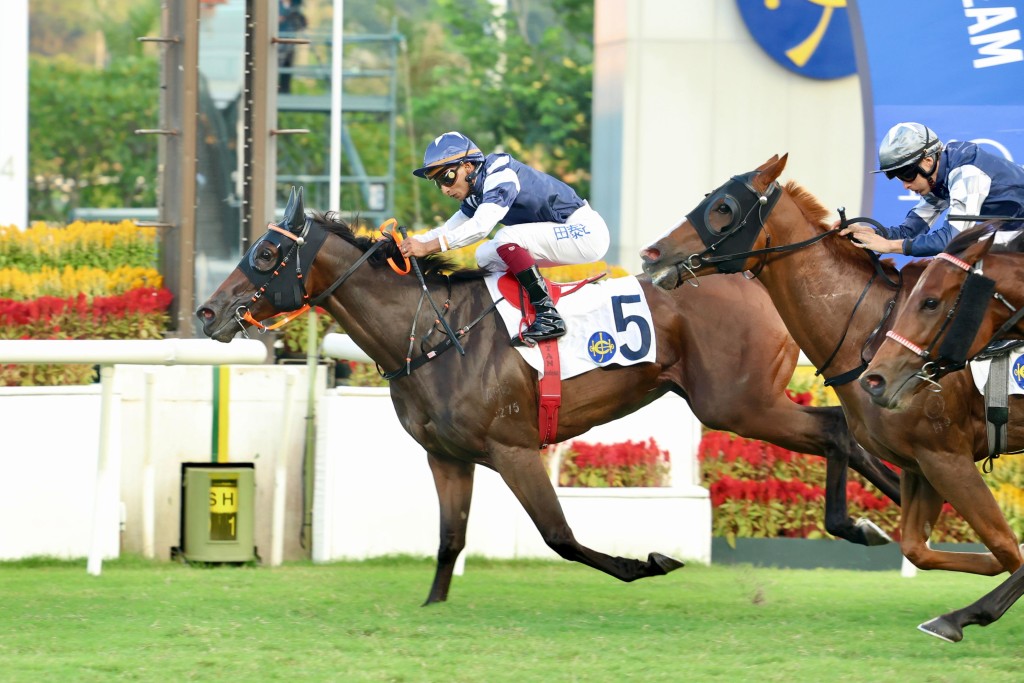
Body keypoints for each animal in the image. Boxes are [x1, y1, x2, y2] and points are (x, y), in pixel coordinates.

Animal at [193, 185, 897, 602]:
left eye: (263, 255)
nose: (206, 312)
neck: (435, 335)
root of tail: (752, 275)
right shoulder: (446, 456)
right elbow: (449, 539)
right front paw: (432, 604)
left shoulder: (513, 449)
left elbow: (558, 535)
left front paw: (649, 563)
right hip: (744, 404)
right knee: (853, 434)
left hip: (736, 404)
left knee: (837, 429)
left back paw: (865, 523)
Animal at [638, 154, 1024, 643]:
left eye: (723, 207)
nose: (652, 254)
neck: (870, 330)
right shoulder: (921, 461)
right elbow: (921, 547)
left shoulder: (946, 456)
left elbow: (1006, 548)